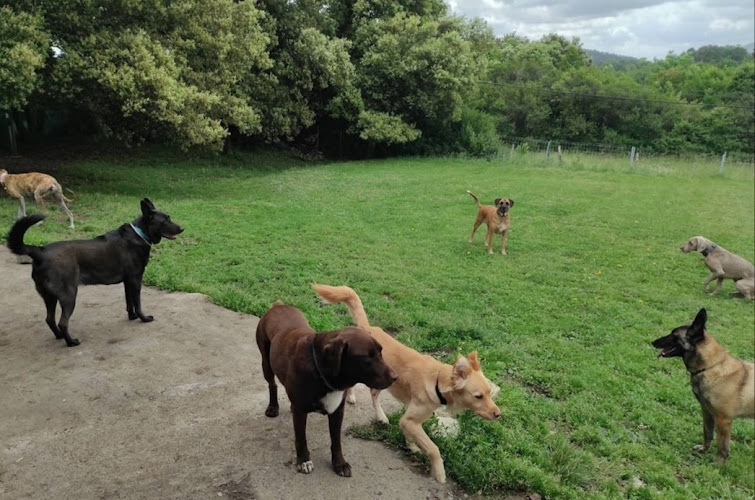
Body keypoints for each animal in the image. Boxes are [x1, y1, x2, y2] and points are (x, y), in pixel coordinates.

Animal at [7, 197, 183, 346]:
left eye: (169, 217)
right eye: (165, 220)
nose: (182, 228)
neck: (140, 233)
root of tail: (40, 252)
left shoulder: (127, 281)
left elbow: (129, 302)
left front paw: (132, 316)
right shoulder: (135, 279)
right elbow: (137, 302)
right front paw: (143, 318)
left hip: (49, 296)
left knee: (49, 319)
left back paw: (59, 336)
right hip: (69, 294)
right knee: (62, 322)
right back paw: (71, 342)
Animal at [652, 308, 752, 464]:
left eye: (674, 334)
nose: (653, 342)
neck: (710, 366)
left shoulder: (723, 420)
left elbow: (722, 446)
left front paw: (718, 465)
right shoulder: (706, 411)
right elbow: (708, 433)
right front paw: (704, 450)